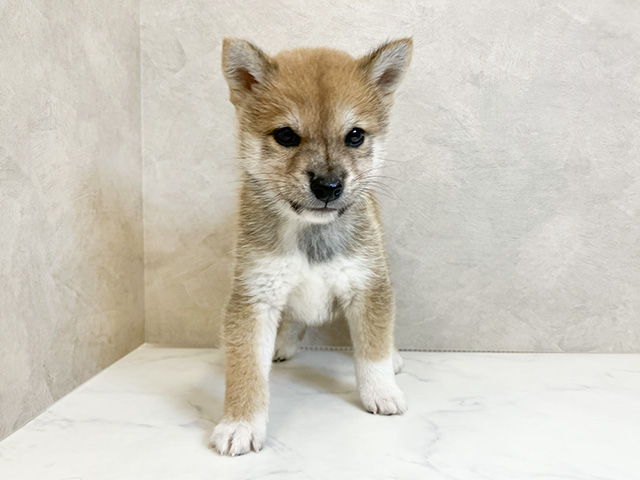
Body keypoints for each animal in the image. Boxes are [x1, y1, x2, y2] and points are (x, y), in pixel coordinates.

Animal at [209, 38, 410, 458]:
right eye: (286, 136)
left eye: (355, 135)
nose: (329, 185)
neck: (311, 235)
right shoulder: (255, 297)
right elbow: (245, 369)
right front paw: (240, 423)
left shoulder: (369, 286)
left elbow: (373, 351)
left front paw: (382, 391)